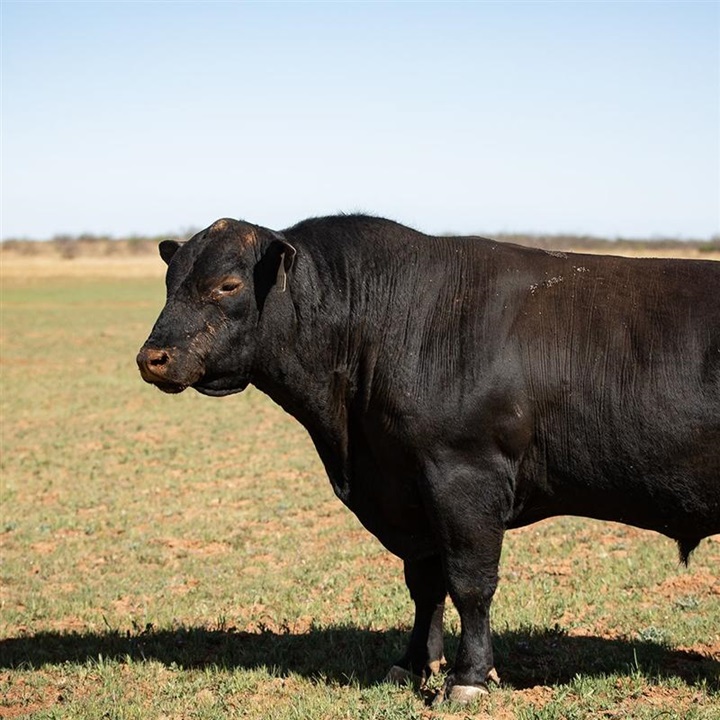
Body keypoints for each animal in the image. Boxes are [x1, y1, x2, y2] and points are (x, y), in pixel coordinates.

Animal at [136, 212, 720, 704]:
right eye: (169, 282)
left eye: (227, 286)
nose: (152, 357)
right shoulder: (407, 489)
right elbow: (425, 583)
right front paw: (413, 663)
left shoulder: (464, 476)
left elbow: (470, 583)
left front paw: (468, 678)